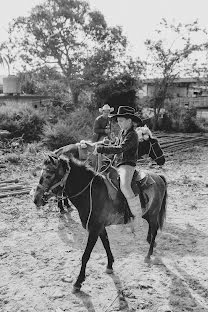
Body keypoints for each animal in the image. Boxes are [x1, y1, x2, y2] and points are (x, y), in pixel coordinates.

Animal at [34, 152, 167, 292]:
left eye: (48, 175)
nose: (36, 199)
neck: (91, 193)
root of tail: (158, 177)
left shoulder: (94, 230)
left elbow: (86, 255)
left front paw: (78, 281)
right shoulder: (100, 228)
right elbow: (106, 244)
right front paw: (110, 265)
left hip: (153, 214)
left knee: (155, 230)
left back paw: (148, 254)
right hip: (147, 214)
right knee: (151, 229)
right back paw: (150, 245)